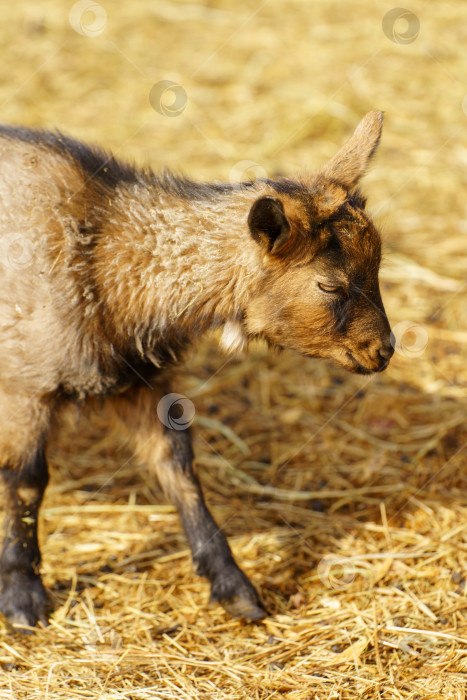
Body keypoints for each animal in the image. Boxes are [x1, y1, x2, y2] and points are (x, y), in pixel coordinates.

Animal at [0, 110, 394, 628]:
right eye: (329, 285)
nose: (385, 350)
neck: (101, 256)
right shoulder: (25, 385)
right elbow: (25, 482)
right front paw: (22, 595)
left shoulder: (143, 383)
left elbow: (180, 472)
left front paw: (234, 588)